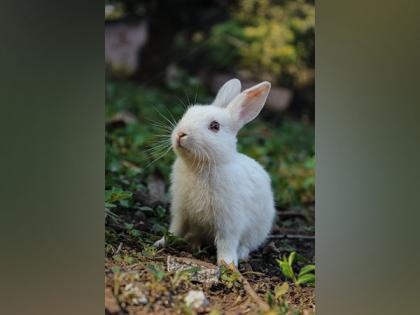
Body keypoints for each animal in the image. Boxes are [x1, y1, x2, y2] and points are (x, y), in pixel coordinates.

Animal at [154, 79, 276, 266]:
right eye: (187, 114)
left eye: (215, 126)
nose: (181, 134)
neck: (201, 166)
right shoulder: (181, 211)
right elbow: (175, 229)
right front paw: (161, 242)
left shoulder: (230, 221)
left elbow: (227, 243)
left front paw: (227, 264)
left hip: (258, 229)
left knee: (247, 244)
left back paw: (241, 254)